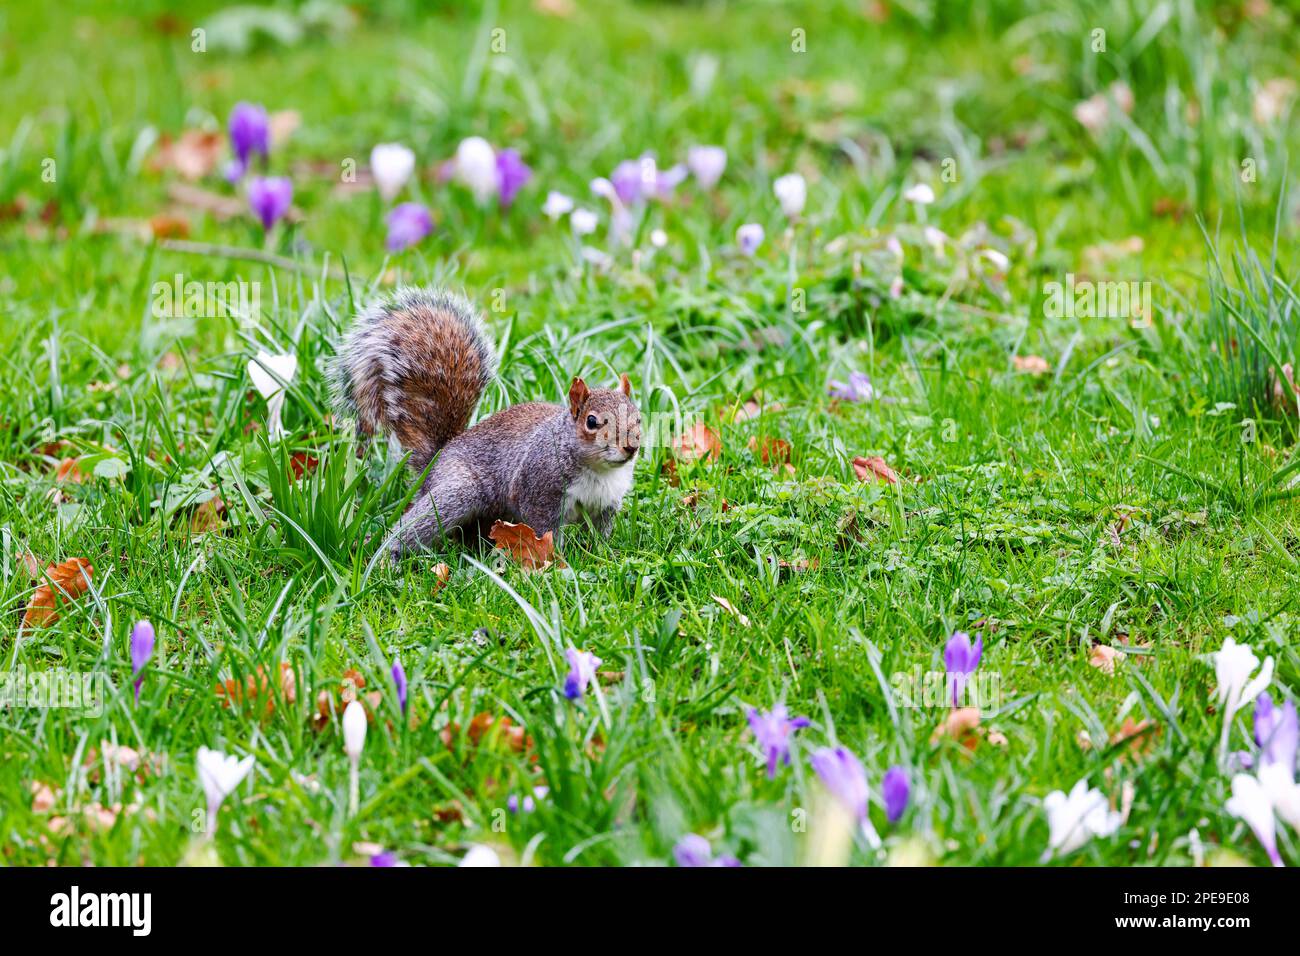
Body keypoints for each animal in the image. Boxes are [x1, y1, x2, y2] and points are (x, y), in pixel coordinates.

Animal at [331, 287, 642, 561]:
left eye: (638, 417)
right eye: (591, 421)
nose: (631, 447)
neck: (598, 471)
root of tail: (436, 460)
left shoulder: (606, 504)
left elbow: (601, 534)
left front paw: (604, 554)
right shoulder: (539, 490)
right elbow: (545, 530)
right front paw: (555, 562)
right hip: (459, 490)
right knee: (417, 523)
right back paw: (390, 556)